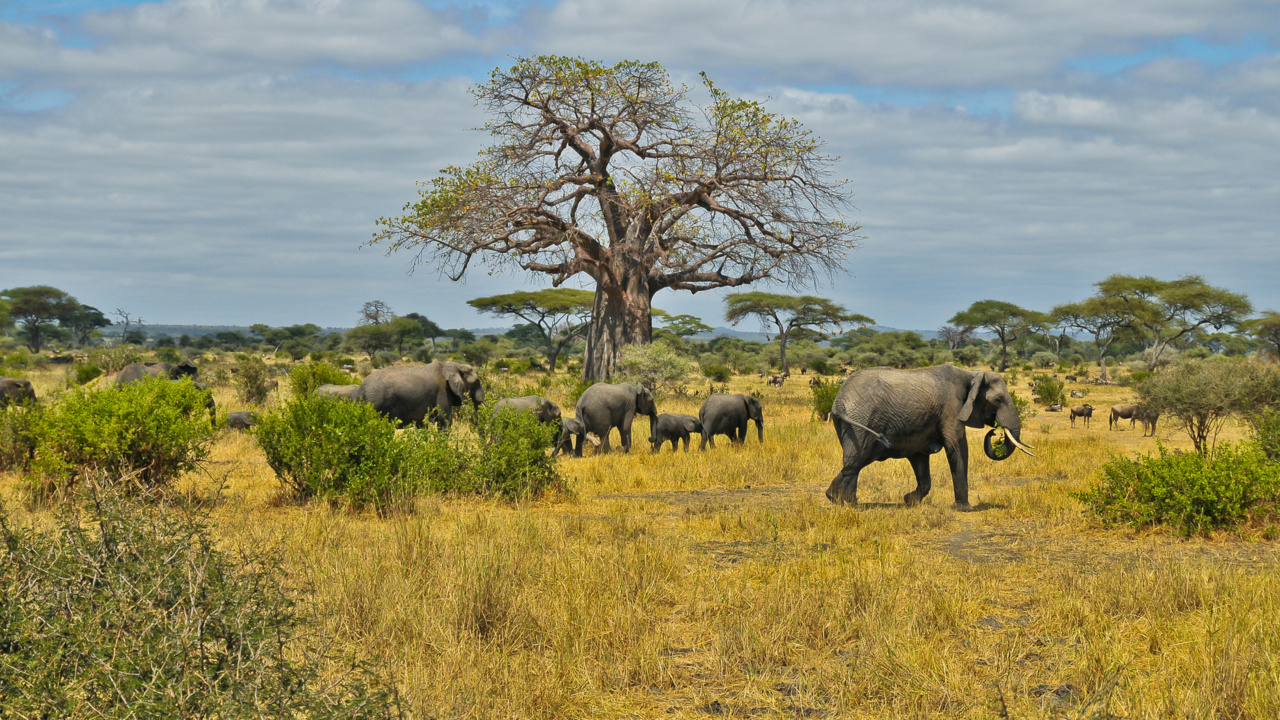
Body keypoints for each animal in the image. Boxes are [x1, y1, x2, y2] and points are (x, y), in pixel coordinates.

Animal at [825, 365, 1034, 510]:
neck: (970, 374)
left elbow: (920, 460)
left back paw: (841, 500)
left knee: (854, 462)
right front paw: (965, 509)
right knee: (856, 460)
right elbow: (958, 447)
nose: (995, 432)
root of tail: (839, 401)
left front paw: (909, 500)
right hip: (863, 420)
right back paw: (843, 501)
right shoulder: (951, 408)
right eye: (998, 400)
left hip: (851, 423)